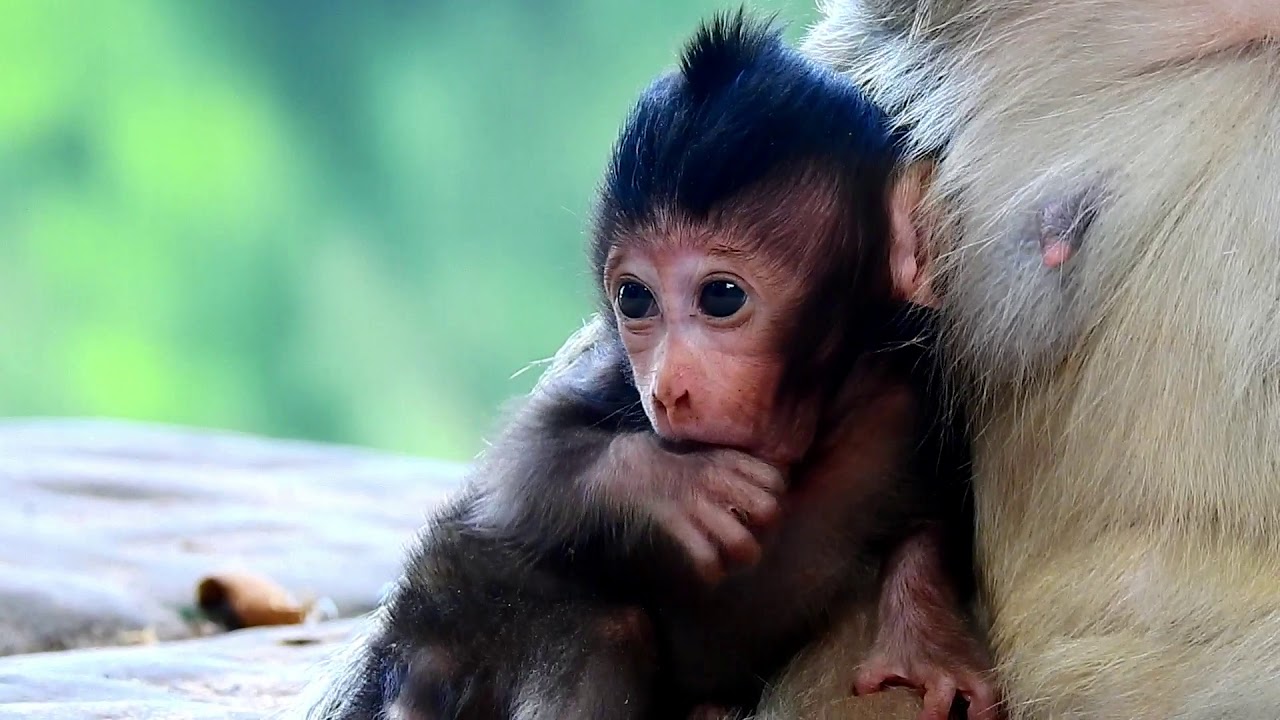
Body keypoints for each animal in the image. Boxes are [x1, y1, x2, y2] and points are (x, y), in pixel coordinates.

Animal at [301, 12, 1002, 720]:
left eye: (722, 297)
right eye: (634, 299)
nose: (667, 389)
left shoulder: (918, 379)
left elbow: (941, 513)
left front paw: (925, 636)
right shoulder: (616, 376)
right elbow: (520, 468)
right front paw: (674, 485)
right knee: (593, 623)